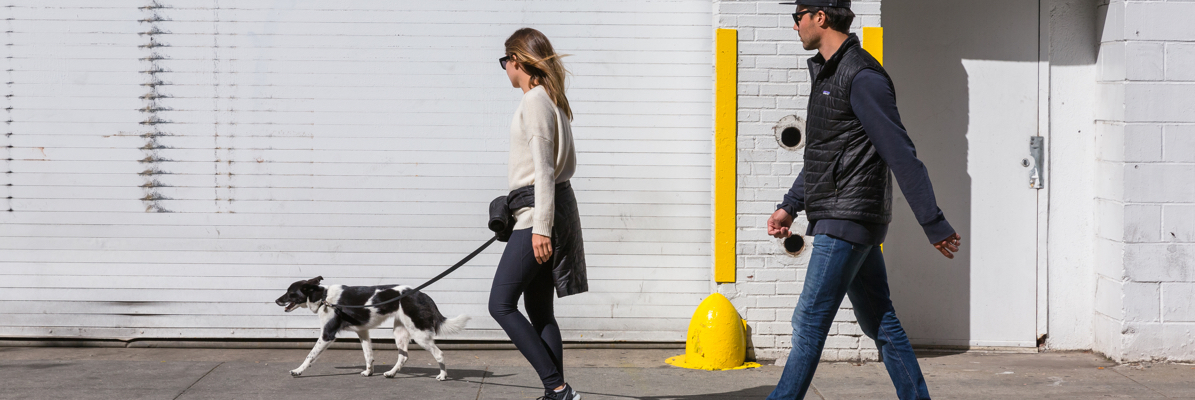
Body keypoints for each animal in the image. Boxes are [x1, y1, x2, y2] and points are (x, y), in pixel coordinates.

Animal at [277, 277, 468, 379]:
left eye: (290, 292)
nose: (276, 300)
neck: (323, 297)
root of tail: (421, 294)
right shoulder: (363, 331)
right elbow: (368, 356)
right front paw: (369, 372)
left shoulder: (327, 335)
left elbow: (309, 356)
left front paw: (298, 371)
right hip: (400, 332)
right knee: (404, 356)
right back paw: (391, 373)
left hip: (419, 334)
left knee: (439, 353)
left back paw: (442, 376)